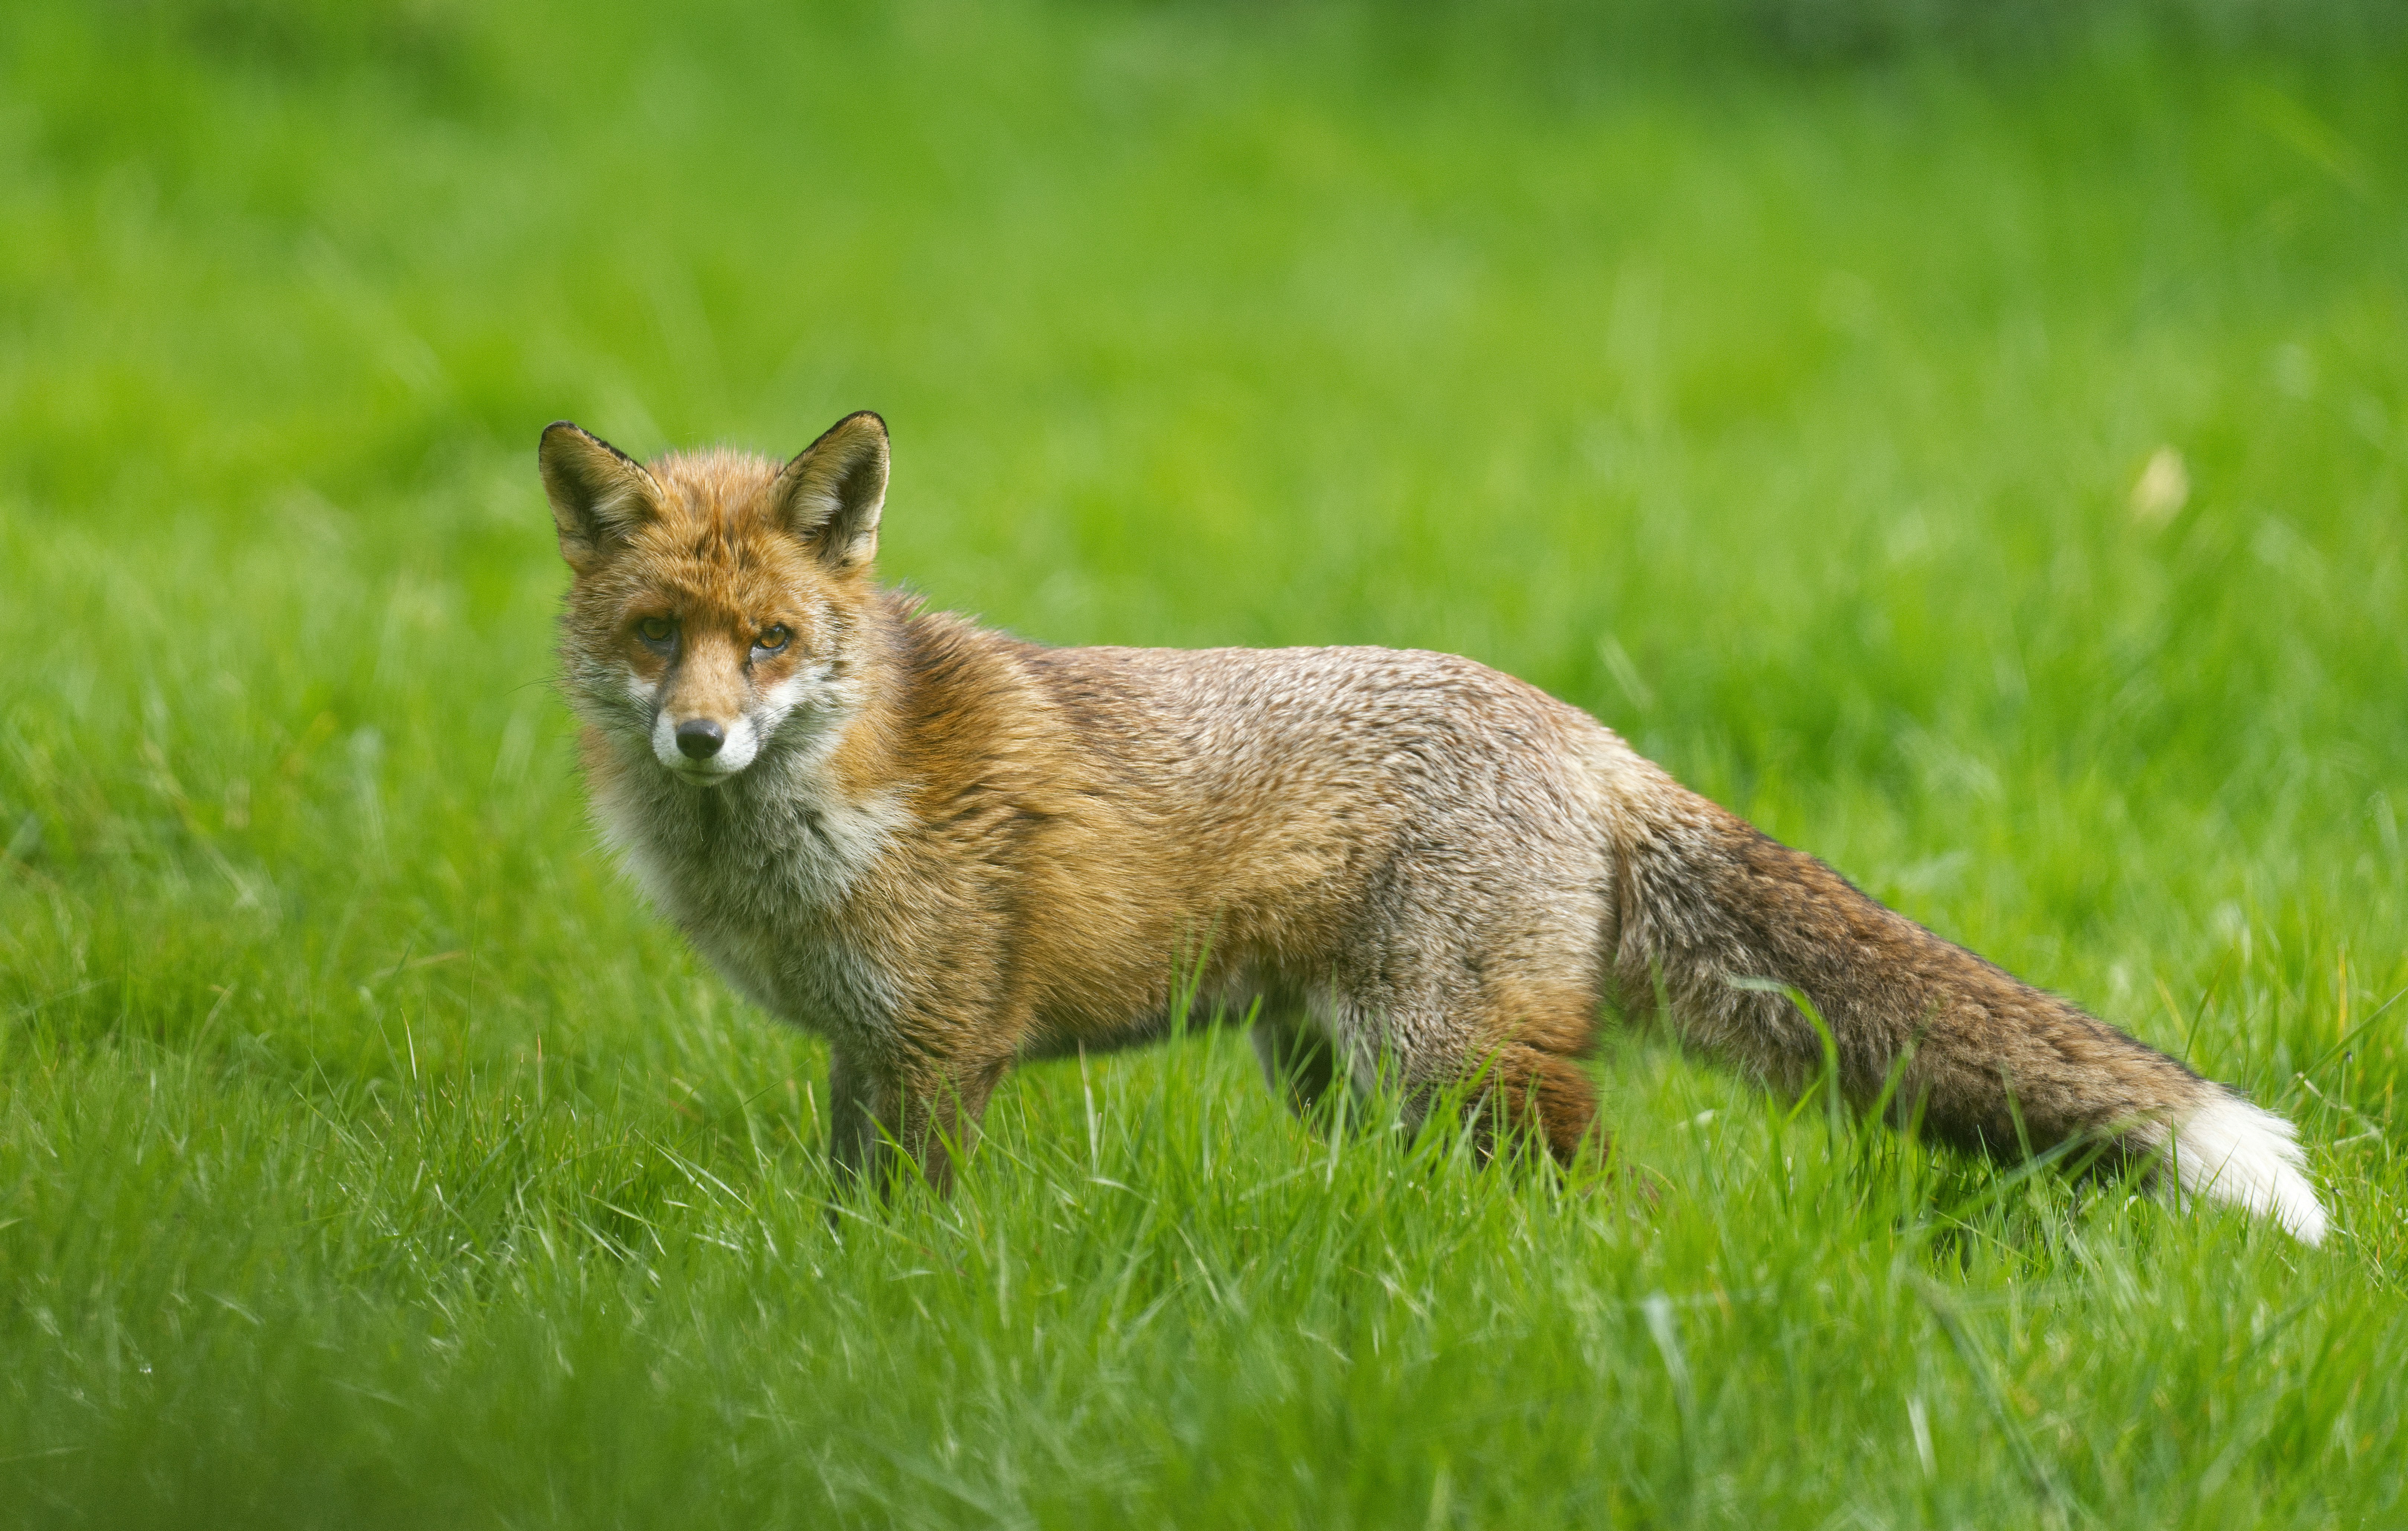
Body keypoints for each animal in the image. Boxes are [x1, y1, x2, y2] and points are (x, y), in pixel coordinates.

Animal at [539, 410, 2328, 1244]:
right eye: (658, 636)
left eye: (772, 642)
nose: (699, 734)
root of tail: (1595, 738)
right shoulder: (865, 1057)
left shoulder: (936, 1047)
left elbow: (900, 1236)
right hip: (1349, 1074)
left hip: (1456, 1068)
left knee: (1621, 1210)